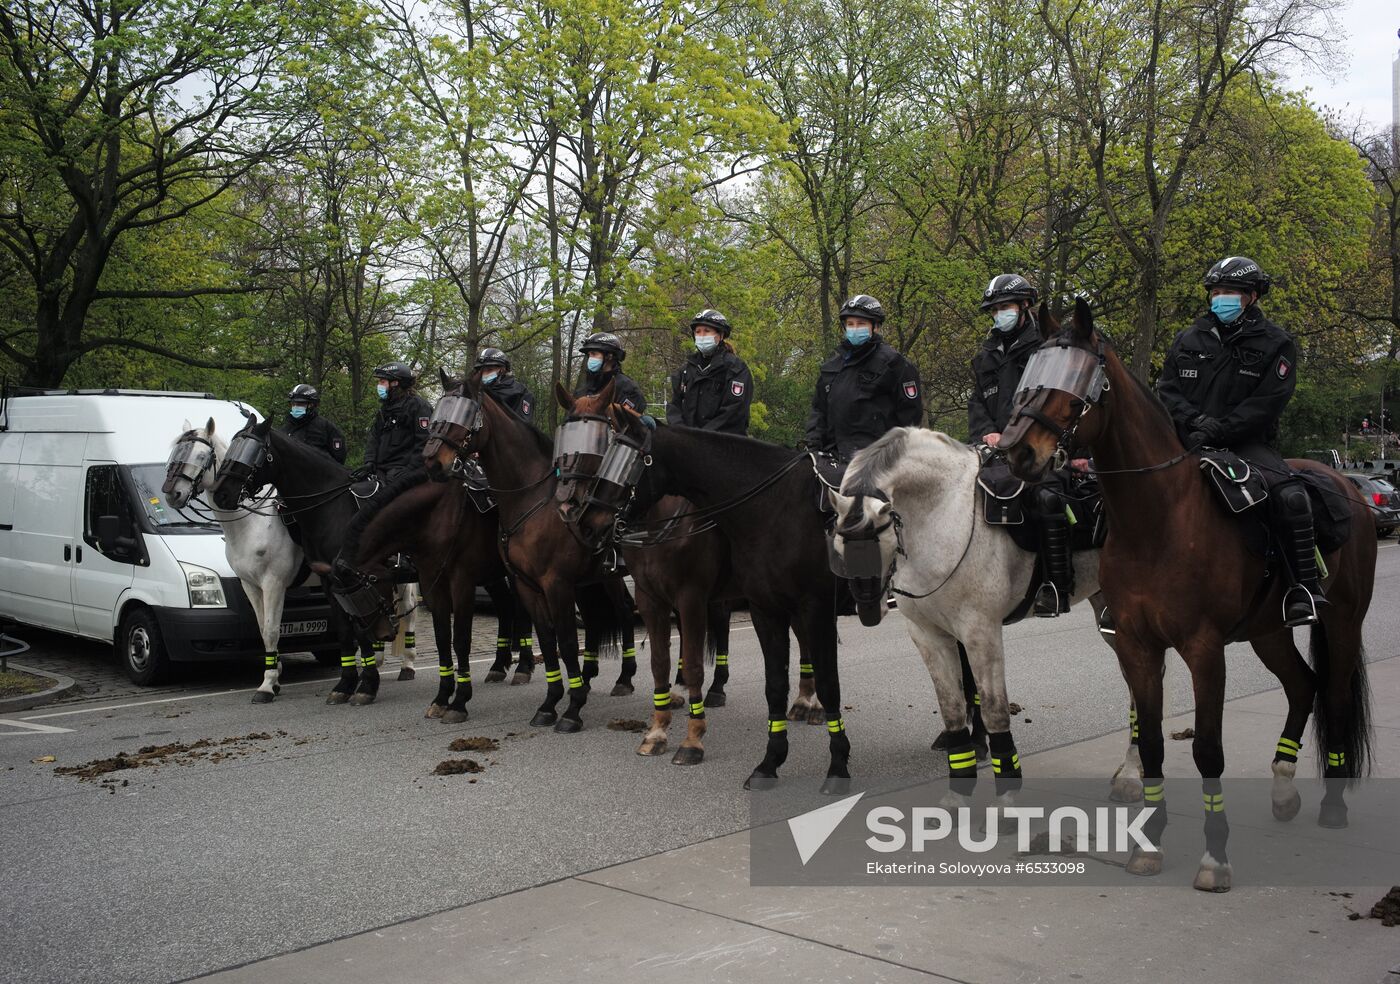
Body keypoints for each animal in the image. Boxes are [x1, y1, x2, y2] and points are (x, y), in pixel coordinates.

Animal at [166, 419, 303, 705]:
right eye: (175, 452)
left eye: (201, 456)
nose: (173, 493)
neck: (252, 523)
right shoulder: (250, 585)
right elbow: (262, 628)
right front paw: (274, 675)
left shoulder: (274, 584)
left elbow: (272, 629)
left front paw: (266, 686)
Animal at [313, 470, 534, 722]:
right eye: (350, 603)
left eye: (366, 590)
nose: (381, 634)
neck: (436, 517)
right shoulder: (432, 584)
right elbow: (442, 640)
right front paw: (442, 697)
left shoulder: (462, 584)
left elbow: (460, 641)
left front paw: (459, 701)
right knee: (506, 605)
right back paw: (498, 665)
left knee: (522, 611)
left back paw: (523, 668)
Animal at [828, 428, 1136, 806]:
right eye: (839, 547)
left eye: (879, 542)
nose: (869, 610)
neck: (941, 515)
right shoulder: (927, 634)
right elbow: (952, 708)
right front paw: (958, 792)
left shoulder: (980, 633)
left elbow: (994, 710)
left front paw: (1007, 795)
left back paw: (1133, 776)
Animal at [1002, 299, 1372, 895]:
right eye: (1032, 372)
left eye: (1079, 382)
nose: (1016, 451)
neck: (1158, 519)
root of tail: (1344, 484)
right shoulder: (1138, 644)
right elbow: (1152, 742)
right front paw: (1148, 843)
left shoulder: (1203, 648)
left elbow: (1207, 750)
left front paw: (1214, 857)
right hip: (1268, 631)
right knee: (1303, 687)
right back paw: (1283, 788)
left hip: (1341, 622)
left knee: (1333, 693)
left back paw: (1332, 804)